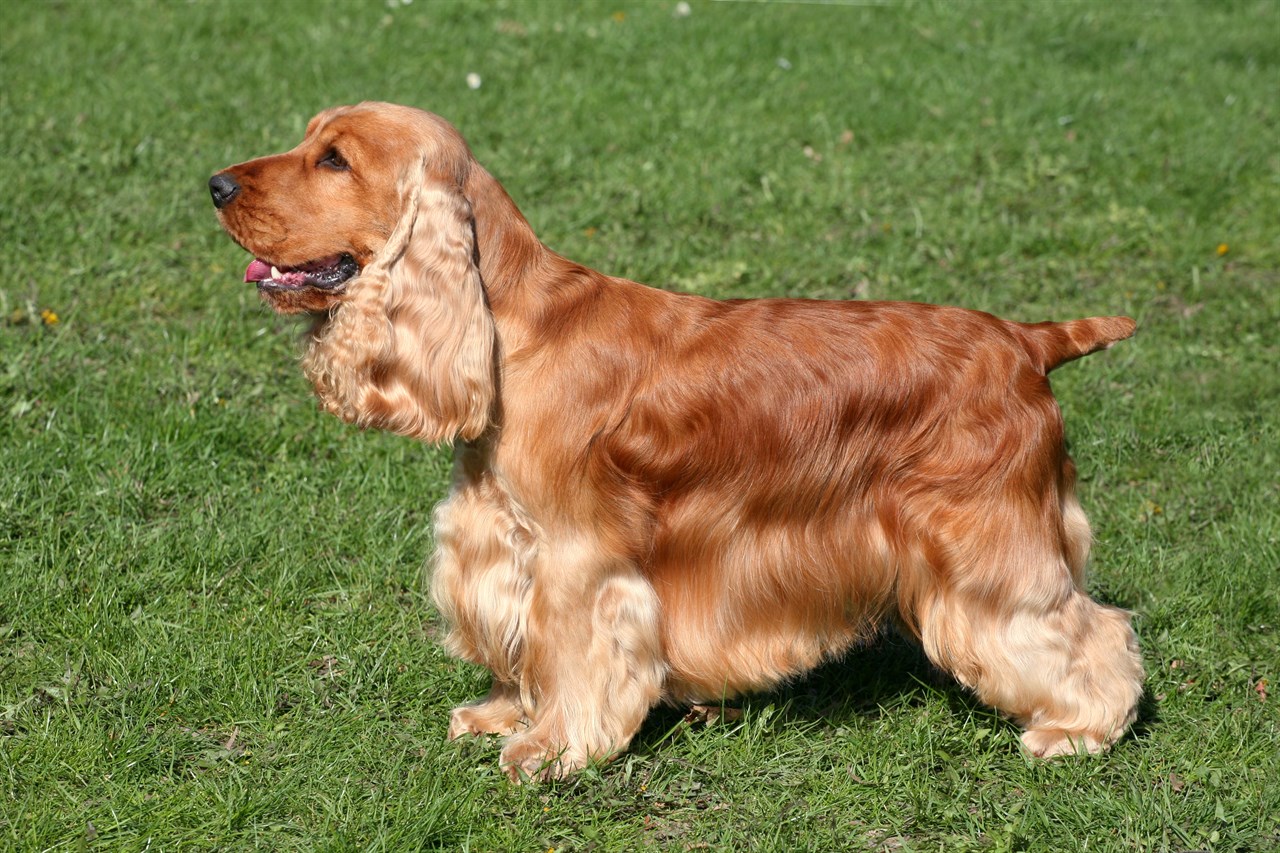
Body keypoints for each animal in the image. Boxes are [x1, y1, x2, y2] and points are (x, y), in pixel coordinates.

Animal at [209, 99, 1141, 778]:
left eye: (334, 158)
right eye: (307, 140)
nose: (215, 183)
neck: (509, 329)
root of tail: (1026, 339)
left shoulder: (581, 556)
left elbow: (575, 652)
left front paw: (551, 747)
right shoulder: (500, 538)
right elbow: (519, 643)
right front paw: (503, 711)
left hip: (988, 542)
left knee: (1088, 629)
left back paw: (1079, 728)